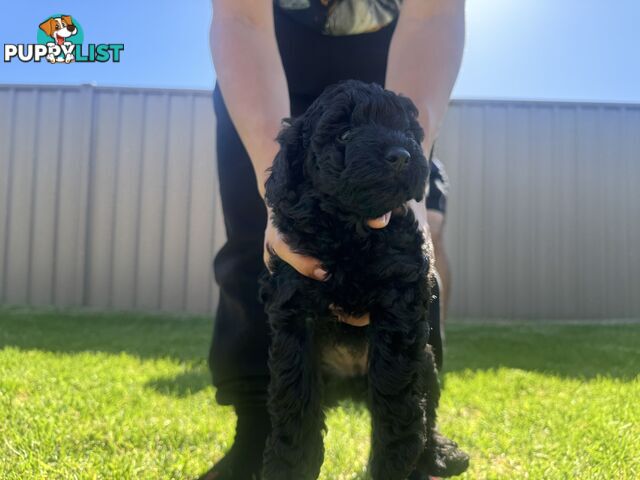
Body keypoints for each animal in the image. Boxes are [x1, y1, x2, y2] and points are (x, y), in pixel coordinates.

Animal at [262, 79, 470, 480]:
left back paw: (439, 453)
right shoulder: (294, 312)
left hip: (427, 362)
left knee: (429, 409)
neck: (351, 229)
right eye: (344, 134)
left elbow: (396, 394)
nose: (402, 155)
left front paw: (394, 463)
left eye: (407, 131)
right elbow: (295, 396)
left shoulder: (399, 308)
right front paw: (290, 464)